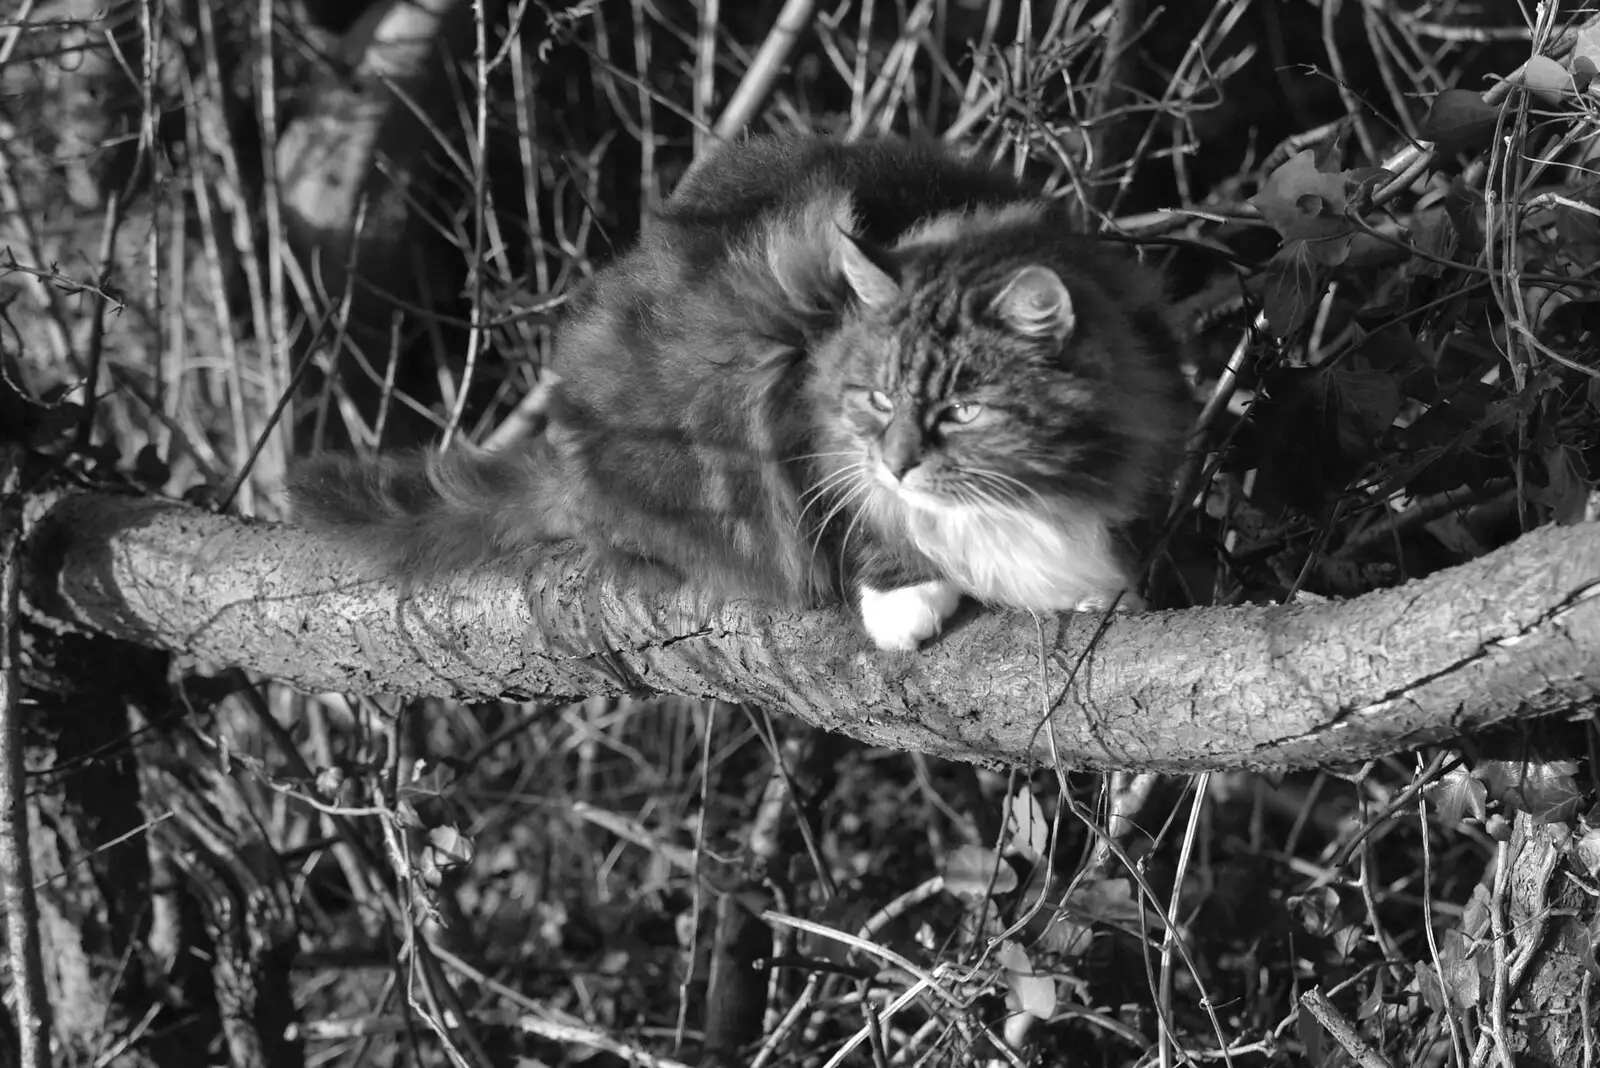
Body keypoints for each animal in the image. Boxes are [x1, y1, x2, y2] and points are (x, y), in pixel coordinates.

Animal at [288, 133, 1196, 652]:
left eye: (960, 412)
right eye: (876, 400)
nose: (898, 463)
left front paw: (1096, 590)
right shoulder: (785, 382)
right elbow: (858, 519)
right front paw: (906, 599)